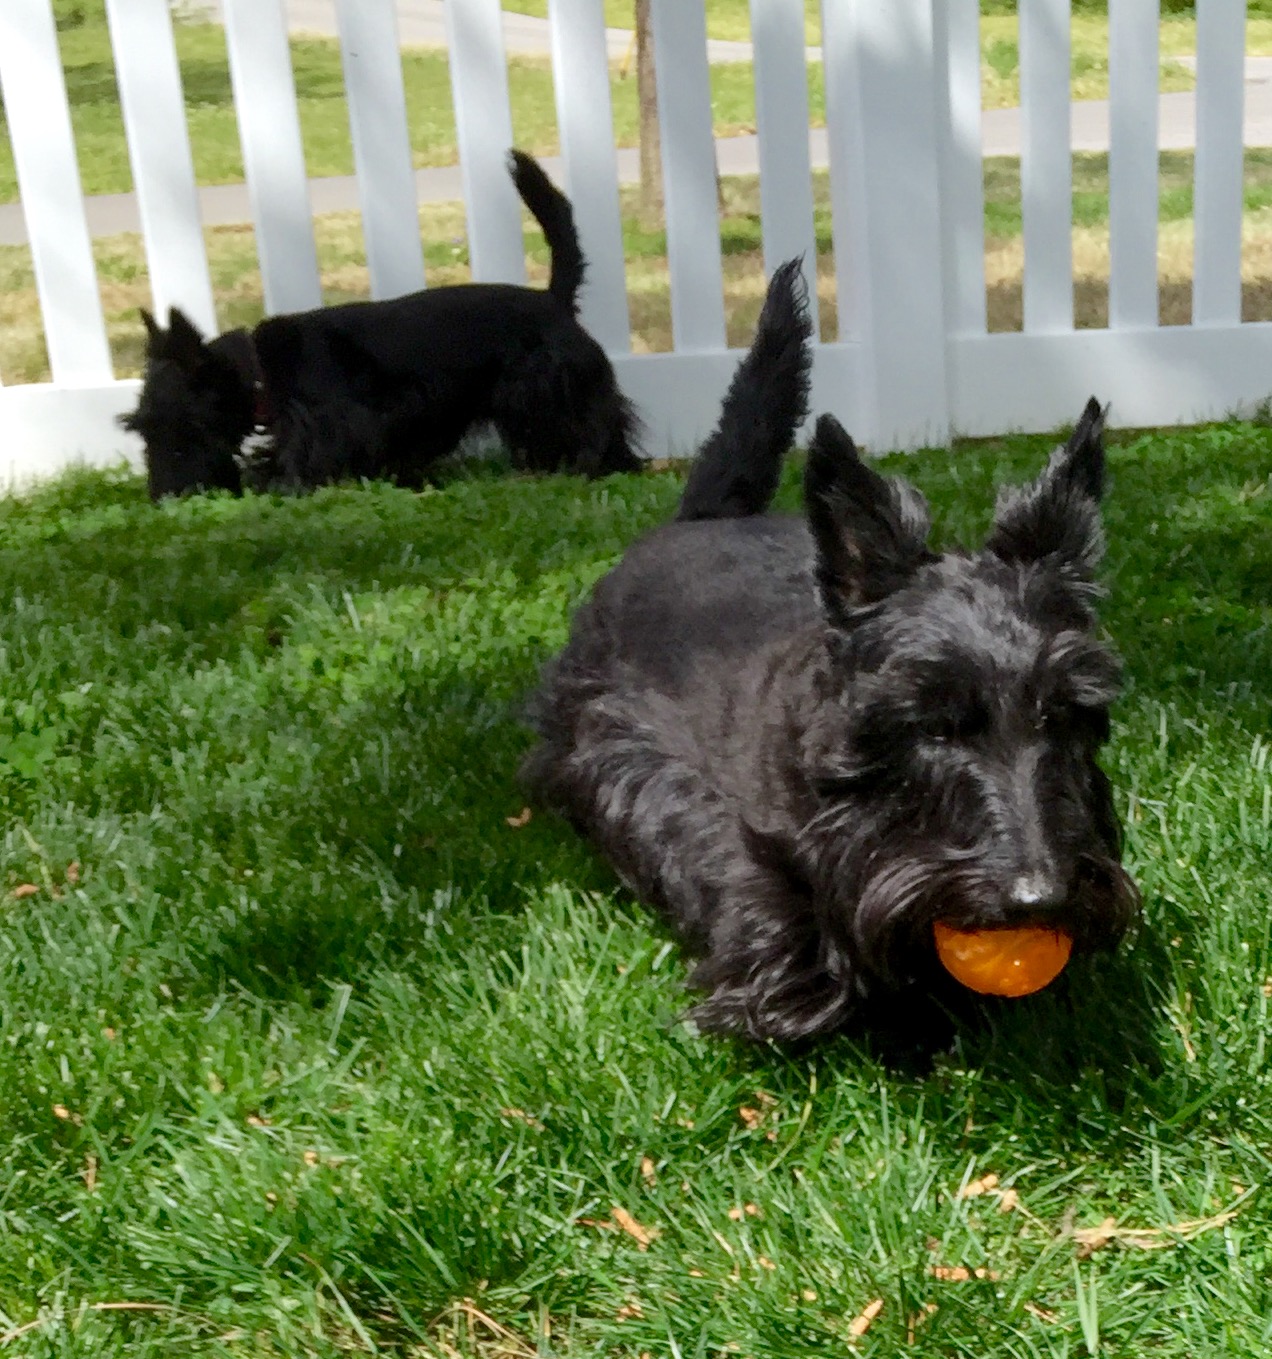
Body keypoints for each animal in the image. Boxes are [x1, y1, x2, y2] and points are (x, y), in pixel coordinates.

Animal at [122, 150, 642, 499]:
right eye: (138, 427)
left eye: (181, 423)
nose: (163, 496)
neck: (260, 371)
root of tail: (553, 300)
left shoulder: (331, 428)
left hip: (554, 393)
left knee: (595, 431)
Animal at [522, 263, 1139, 1042]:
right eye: (933, 725)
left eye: (1065, 715)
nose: (1041, 898)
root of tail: (699, 517)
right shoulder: (694, 804)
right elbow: (754, 883)